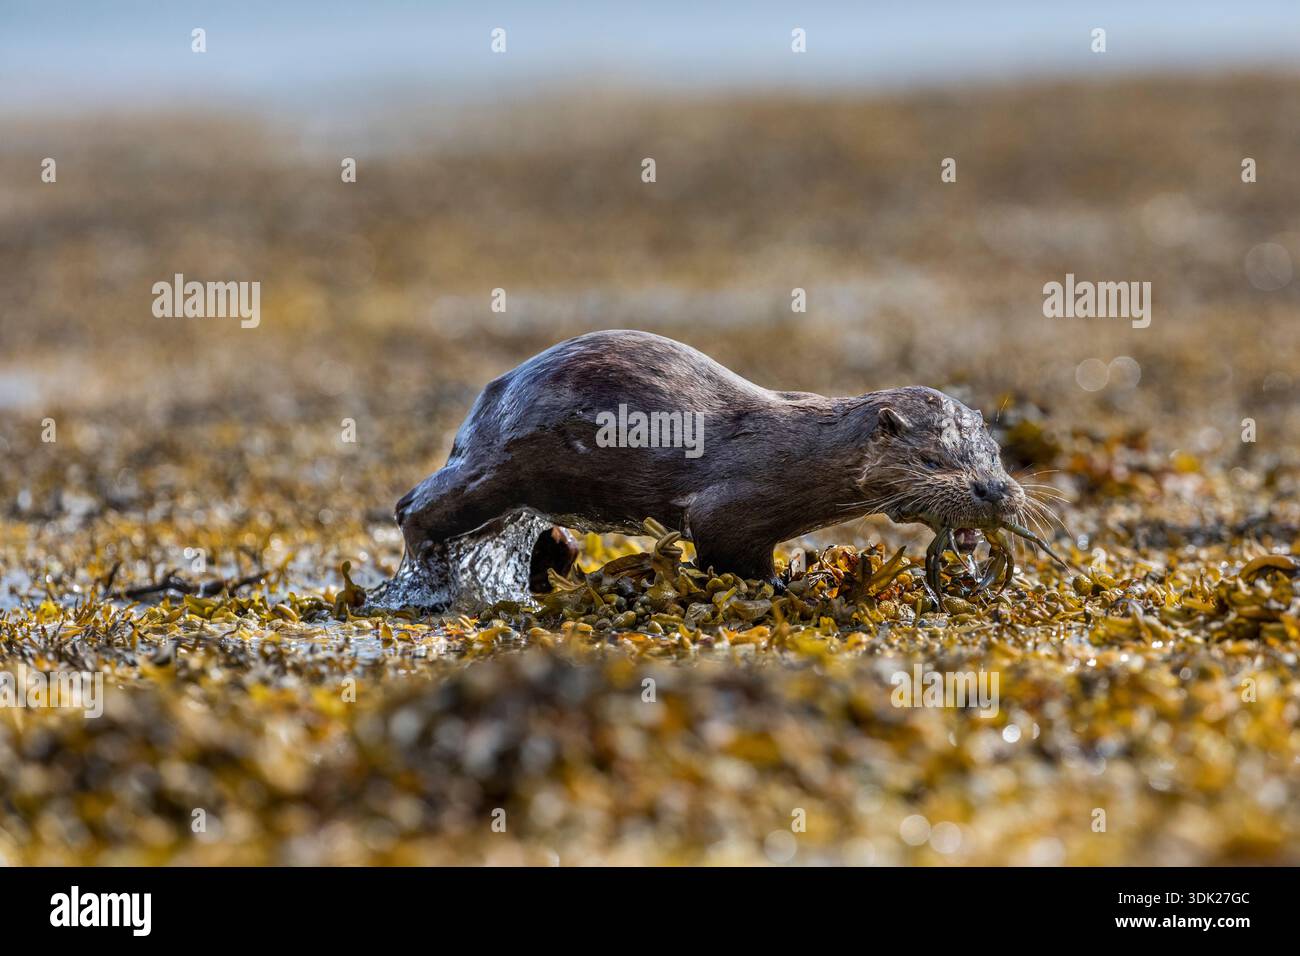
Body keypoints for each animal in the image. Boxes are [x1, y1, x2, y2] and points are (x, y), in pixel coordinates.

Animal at [391, 330, 1053, 603]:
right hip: (497, 467)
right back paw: (425, 572)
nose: (995, 491)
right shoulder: (731, 505)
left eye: (993, 456)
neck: (808, 451)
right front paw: (786, 585)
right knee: (414, 506)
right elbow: (725, 549)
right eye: (933, 459)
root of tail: (492, 393)